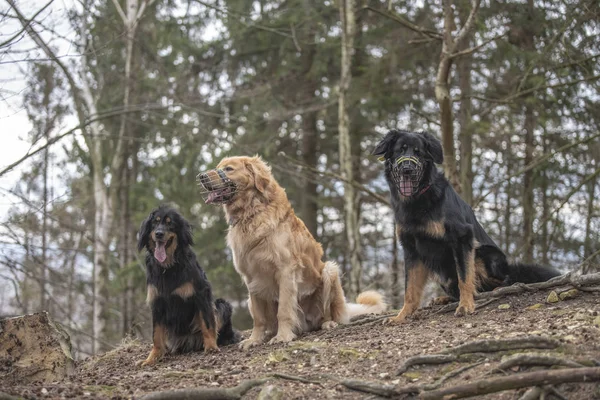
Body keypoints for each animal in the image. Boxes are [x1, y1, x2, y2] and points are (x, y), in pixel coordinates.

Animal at [137, 206, 239, 366]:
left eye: (170, 223)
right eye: (154, 223)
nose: (159, 234)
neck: (168, 267)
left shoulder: (201, 294)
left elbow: (207, 323)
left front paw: (211, 347)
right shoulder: (157, 301)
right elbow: (156, 334)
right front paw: (152, 357)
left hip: (222, 304)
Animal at [372, 130, 560, 324]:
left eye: (419, 152)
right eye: (400, 150)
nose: (407, 169)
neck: (418, 200)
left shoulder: (462, 237)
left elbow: (464, 277)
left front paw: (466, 305)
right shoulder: (411, 250)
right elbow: (409, 289)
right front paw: (401, 316)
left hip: (484, 255)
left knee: (504, 280)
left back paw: (494, 290)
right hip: (445, 276)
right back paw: (443, 299)